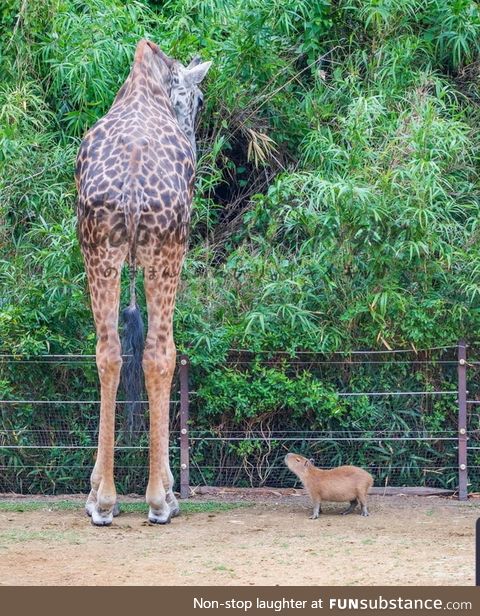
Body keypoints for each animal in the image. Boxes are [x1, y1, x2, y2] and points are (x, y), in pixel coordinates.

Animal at [74, 39, 210, 524]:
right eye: (199, 99)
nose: (193, 137)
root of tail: (132, 186)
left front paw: (98, 491)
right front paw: (167, 488)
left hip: (99, 252)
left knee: (108, 352)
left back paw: (103, 500)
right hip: (165, 254)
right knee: (159, 353)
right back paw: (158, 500)